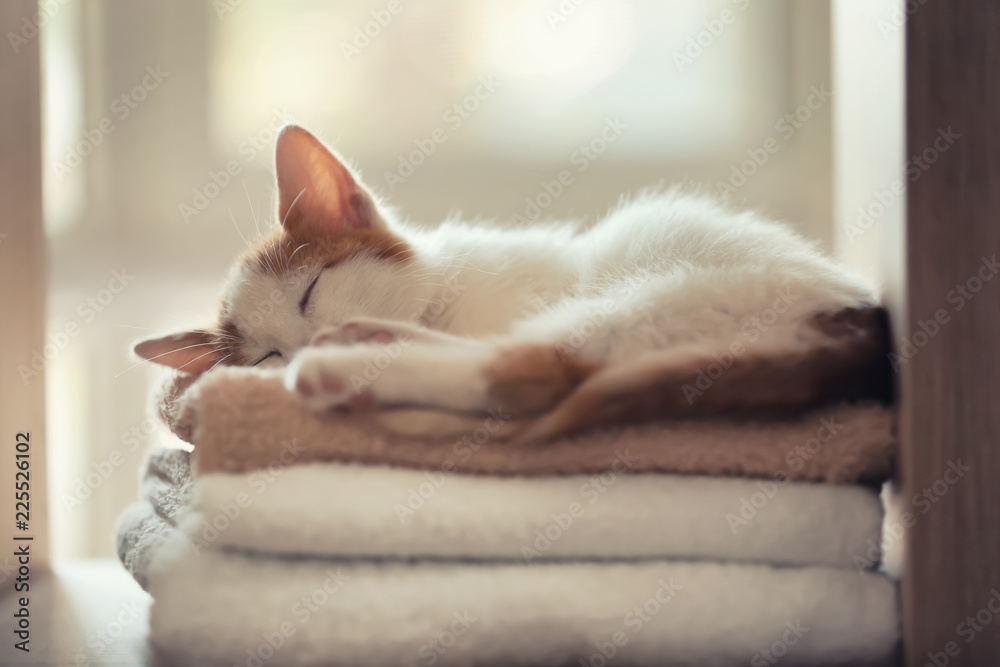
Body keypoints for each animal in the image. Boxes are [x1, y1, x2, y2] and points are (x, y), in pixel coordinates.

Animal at [135, 125, 892, 440]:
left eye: (310, 289)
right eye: (263, 355)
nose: (296, 348)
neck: (442, 308)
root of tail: (856, 319)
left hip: (660, 288)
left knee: (531, 369)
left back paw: (349, 364)